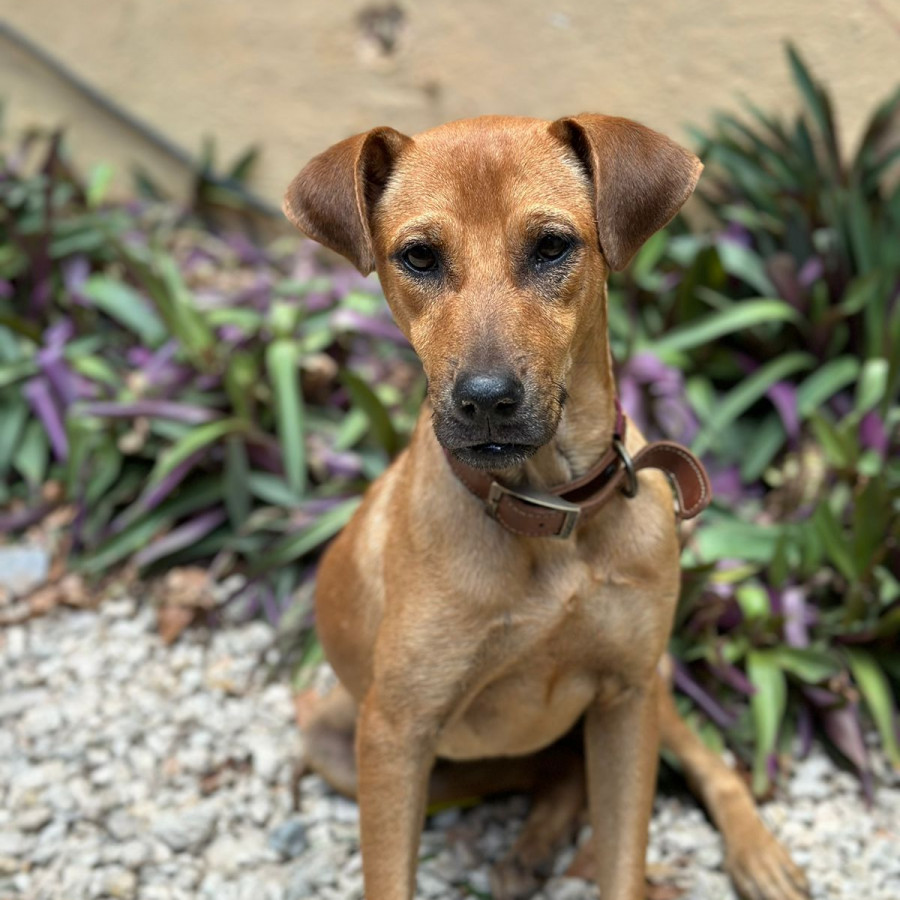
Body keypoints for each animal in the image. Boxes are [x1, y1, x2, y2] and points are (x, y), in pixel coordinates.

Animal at [284, 114, 808, 900]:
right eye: (418, 256)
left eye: (552, 246)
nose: (485, 399)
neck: (546, 506)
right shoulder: (397, 733)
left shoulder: (626, 697)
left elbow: (623, 858)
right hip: (344, 743)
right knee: (549, 769)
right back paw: (532, 846)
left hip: (653, 682)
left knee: (704, 766)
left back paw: (755, 853)